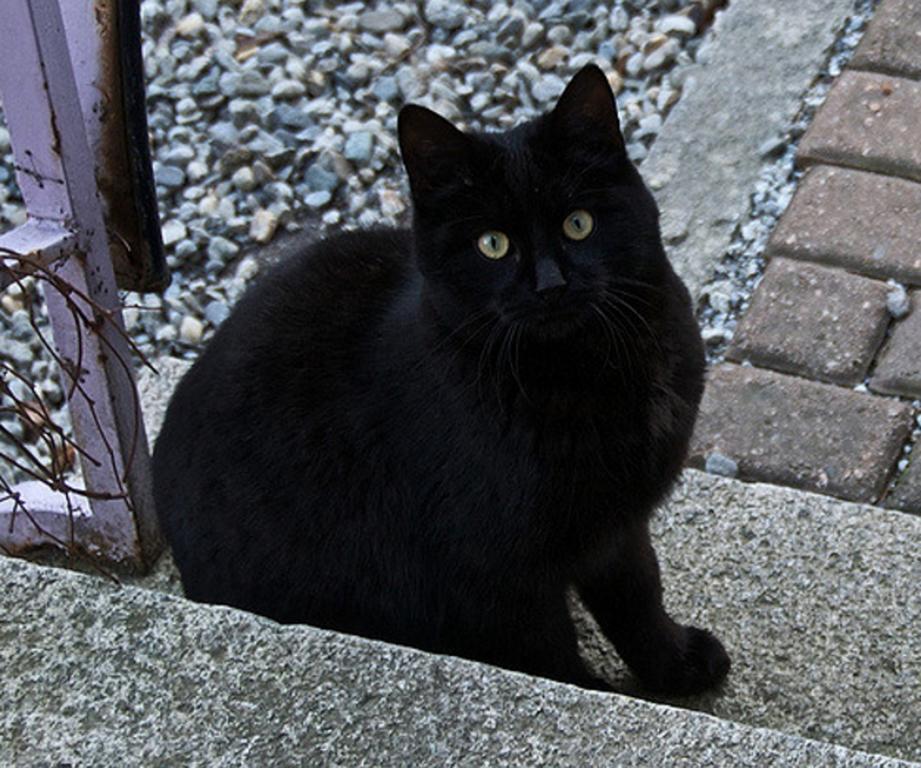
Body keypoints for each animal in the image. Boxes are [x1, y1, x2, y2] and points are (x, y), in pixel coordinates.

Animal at [155, 66, 728, 696]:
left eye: (579, 224)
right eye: (492, 244)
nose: (550, 284)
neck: (584, 374)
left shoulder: (616, 527)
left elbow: (638, 599)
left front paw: (677, 666)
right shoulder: (492, 578)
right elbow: (551, 659)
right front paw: (602, 692)